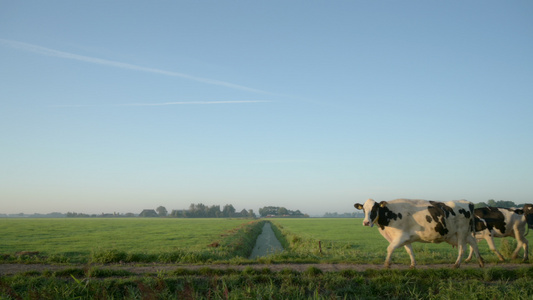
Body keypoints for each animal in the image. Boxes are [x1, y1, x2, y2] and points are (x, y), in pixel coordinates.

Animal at [354, 198, 482, 268]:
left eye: (374, 209)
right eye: (363, 209)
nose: (366, 222)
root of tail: (468, 202)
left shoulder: (401, 236)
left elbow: (390, 248)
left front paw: (387, 264)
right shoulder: (406, 237)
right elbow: (409, 251)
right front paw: (413, 265)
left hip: (461, 231)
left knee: (462, 248)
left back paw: (456, 265)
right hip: (459, 234)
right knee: (473, 243)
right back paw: (481, 262)